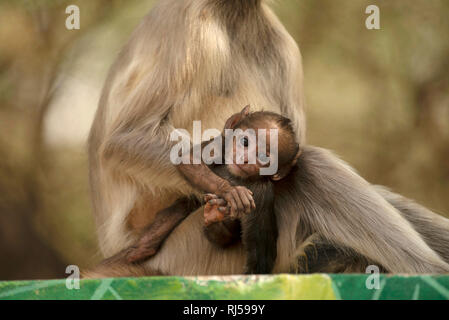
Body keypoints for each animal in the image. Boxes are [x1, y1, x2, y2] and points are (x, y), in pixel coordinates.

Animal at [121, 106, 300, 274]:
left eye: (263, 157)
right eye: (245, 142)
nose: (245, 159)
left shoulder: (264, 194)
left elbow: (258, 251)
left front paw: (215, 215)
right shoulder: (220, 145)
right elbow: (189, 159)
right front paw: (230, 191)